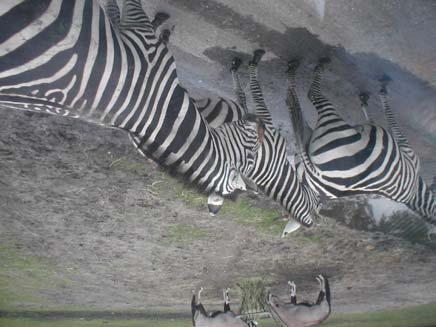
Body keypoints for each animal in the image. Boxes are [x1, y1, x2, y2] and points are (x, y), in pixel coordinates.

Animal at [0, 0, 268, 201]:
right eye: (254, 150)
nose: (261, 123)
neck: (163, 113)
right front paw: (160, 22)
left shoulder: (140, 33)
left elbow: (119, 11)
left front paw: (159, 20)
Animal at [288, 58, 434, 226]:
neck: (414, 191)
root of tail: (317, 175)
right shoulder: (405, 148)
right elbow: (388, 119)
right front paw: (372, 96)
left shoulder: (400, 146)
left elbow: (386, 120)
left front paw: (375, 95)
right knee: (312, 94)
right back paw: (301, 69)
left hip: (330, 126)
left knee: (312, 95)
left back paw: (298, 72)